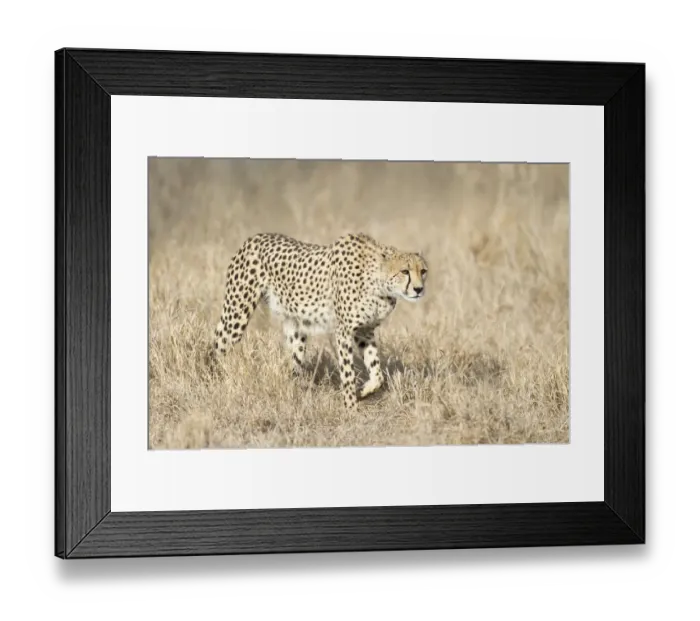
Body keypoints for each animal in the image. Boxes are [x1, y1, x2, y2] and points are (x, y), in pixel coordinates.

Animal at [209, 232, 428, 410]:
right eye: (405, 271)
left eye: (423, 271)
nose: (419, 289)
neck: (379, 284)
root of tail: (254, 237)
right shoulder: (344, 331)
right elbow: (348, 373)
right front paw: (350, 408)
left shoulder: (365, 331)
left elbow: (377, 372)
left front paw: (364, 391)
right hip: (237, 313)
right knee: (217, 346)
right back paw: (214, 379)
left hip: (296, 328)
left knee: (294, 364)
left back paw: (296, 393)